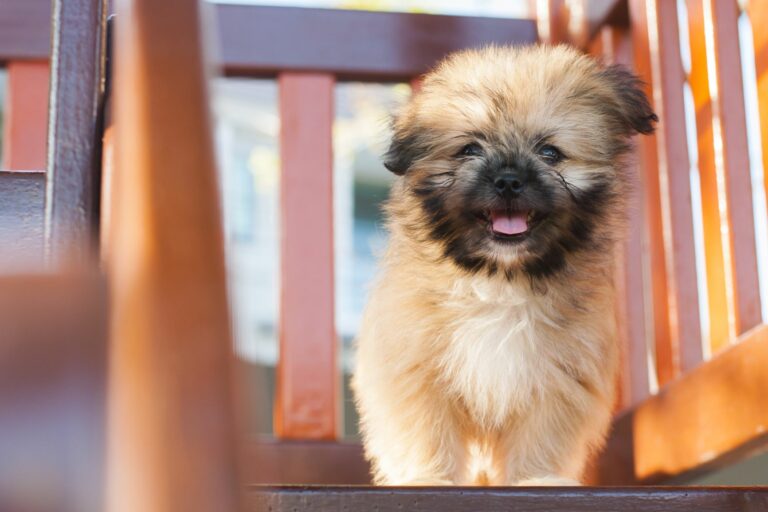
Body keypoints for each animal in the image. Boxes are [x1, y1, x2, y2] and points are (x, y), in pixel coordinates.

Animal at [352, 43, 656, 484]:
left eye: (550, 152)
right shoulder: (415, 369)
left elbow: (543, 434)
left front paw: (538, 479)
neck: (500, 279)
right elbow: (426, 430)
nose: (509, 180)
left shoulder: (561, 373)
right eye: (469, 149)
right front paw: (429, 477)